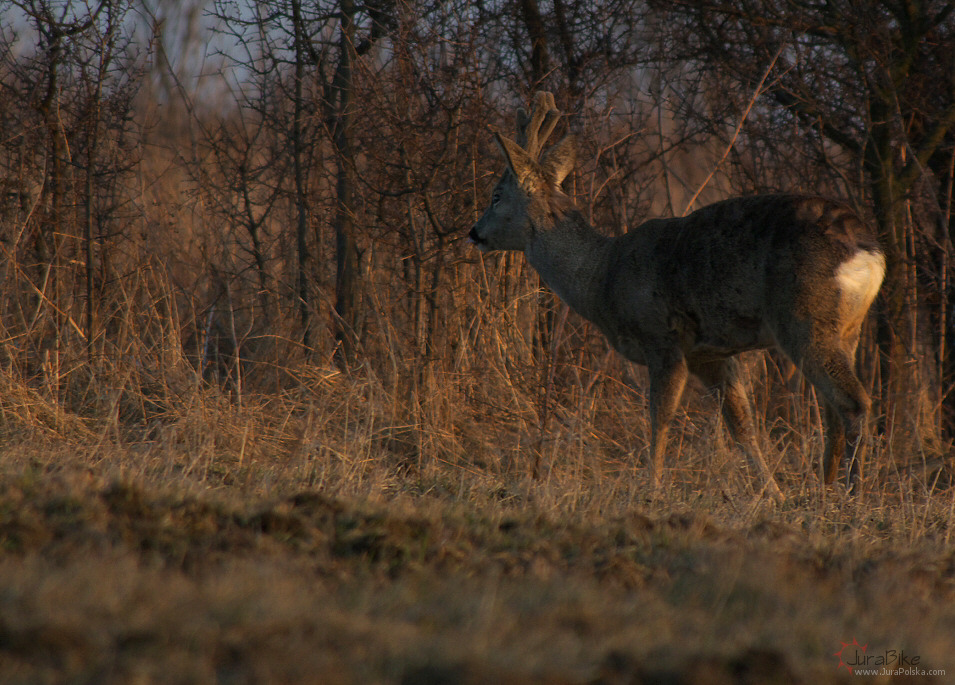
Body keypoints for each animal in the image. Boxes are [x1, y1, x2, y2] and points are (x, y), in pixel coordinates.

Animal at [472, 91, 888, 500]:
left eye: (496, 195)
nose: (474, 233)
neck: (602, 276)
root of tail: (868, 249)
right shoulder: (708, 353)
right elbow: (741, 425)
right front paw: (773, 493)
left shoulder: (662, 337)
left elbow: (660, 417)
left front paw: (652, 488)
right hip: (846, 329)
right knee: (833, 408)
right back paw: (826, 488)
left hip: (804, 318)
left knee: (854, 402)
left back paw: (853, 494)